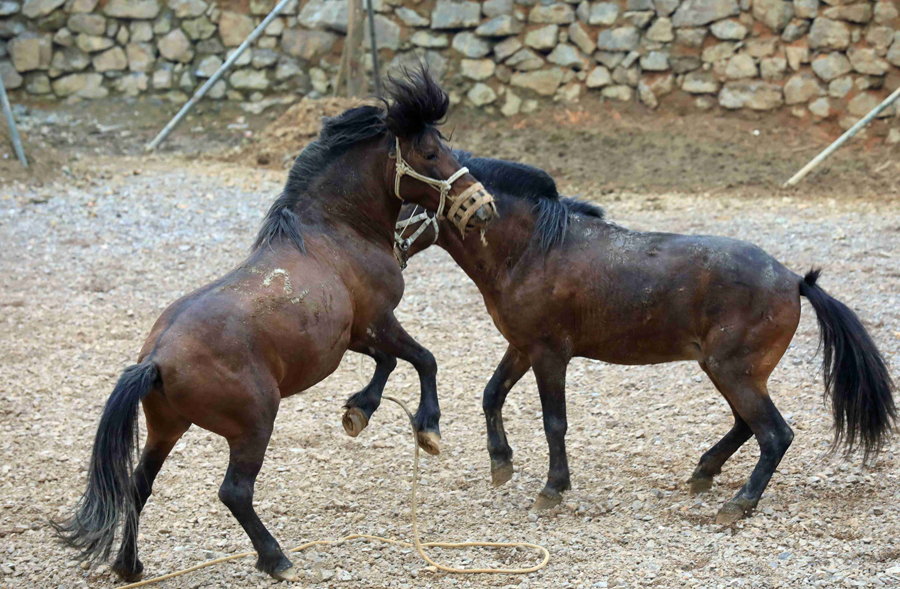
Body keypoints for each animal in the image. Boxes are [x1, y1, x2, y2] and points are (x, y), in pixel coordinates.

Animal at [53, 71, 500, 580]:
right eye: (428, 152)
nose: (483, 206)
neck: (335, 232)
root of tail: (155, 360)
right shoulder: (378, 320)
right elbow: (425, 359)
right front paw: (428, 430)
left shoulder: (348, 337)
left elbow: (388, 363)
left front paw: (358, 411)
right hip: (253, 423)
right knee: (234, 492)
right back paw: (275, 558)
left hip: (167, 428)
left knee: (137, 486)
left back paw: (130, 564)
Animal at [350, 152, 892, 524]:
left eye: (404, 202)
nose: (383, 248)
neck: (529, 250)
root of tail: (794, 279)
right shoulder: (521, 346)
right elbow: (490, 395)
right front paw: (501, 464)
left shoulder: (550, 353)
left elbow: (554, 422)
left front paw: (552, 489)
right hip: (726, 370)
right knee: (748, 425)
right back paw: (703, 474)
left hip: (733, 370)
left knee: (775, 434)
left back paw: (738, 504)